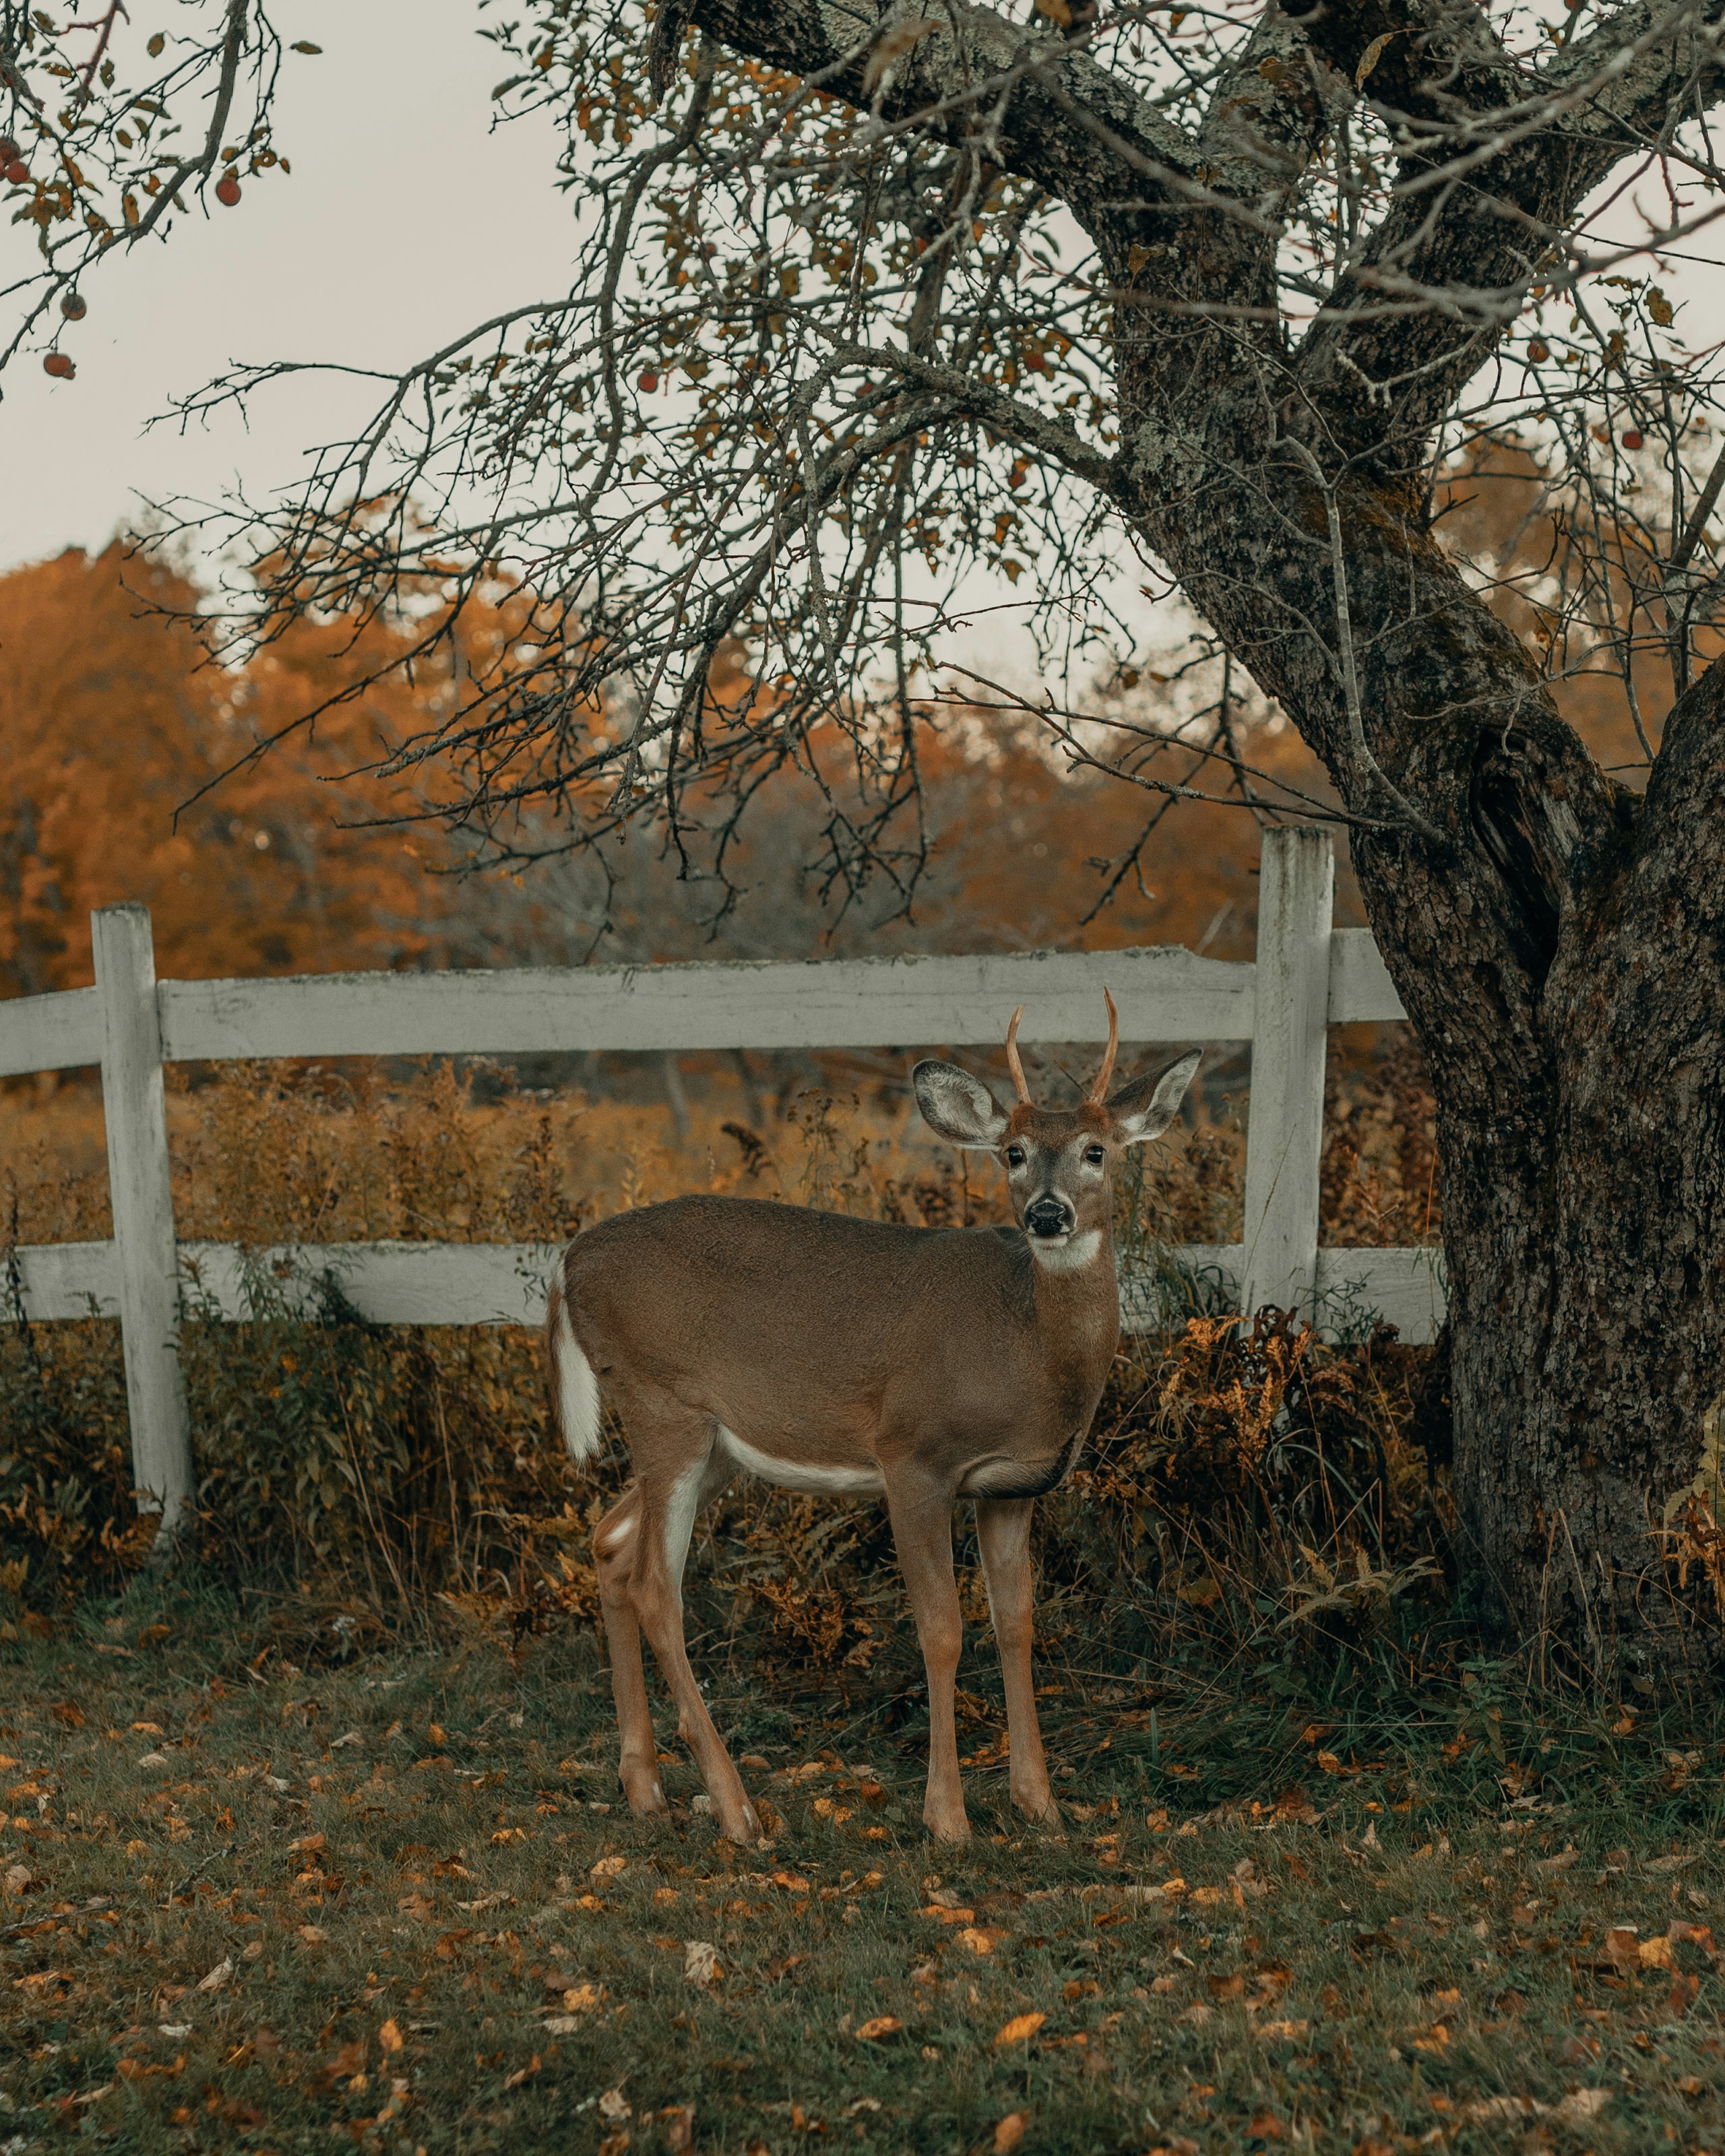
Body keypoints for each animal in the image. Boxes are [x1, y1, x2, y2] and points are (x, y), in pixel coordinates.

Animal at [550, 1000, 1199, 1845]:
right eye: (1014, 1152)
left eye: (1097, 1150)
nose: (1047, 1213)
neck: (1025, 1346)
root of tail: (566, 1260)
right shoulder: (913, 1456)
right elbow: (942, 1626)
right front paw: (948, 1818)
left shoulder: (1014, 1486)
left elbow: (1017, 1624)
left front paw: (1040, 1805)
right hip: (664, 1403)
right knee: (658, 1584)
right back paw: (736, 1807)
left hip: (716, 1442)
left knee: (610, 1540)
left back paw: (645, 1787)